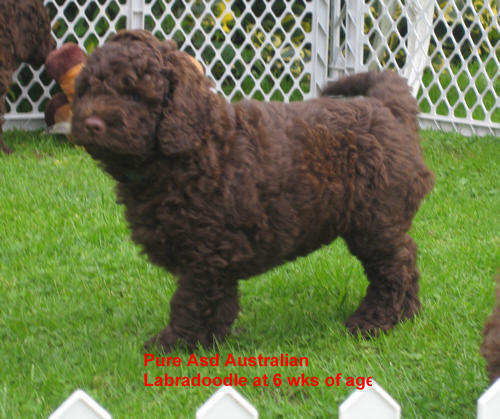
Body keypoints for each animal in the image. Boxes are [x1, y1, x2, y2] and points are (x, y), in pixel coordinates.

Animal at [70, 29, 434, 352]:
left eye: (134, 95)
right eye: (87, 89)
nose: (91, 123)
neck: (187, 152)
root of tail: (386, 107)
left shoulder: (206, 252)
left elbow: (191, 301)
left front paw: (176, 344)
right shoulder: (213, 255)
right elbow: (219, 300)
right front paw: (211, 340)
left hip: (376, 219)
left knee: (394, 267)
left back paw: (375, 321)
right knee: (406, 259)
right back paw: (408, 314)